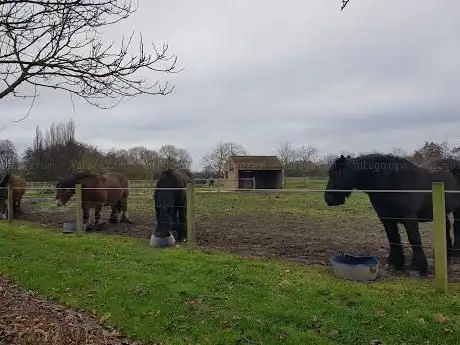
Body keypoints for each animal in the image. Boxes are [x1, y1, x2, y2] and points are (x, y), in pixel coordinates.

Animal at [326, 153, 460, 274]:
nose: (328, 199)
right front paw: (395, 263)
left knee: (456, 227)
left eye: (336, 174)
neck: (393, 183)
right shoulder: (386, 218)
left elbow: (414, 240)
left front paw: (418, 268)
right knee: (447, 228)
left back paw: (455, 255)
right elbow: (393, 239)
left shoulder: (409, 217)